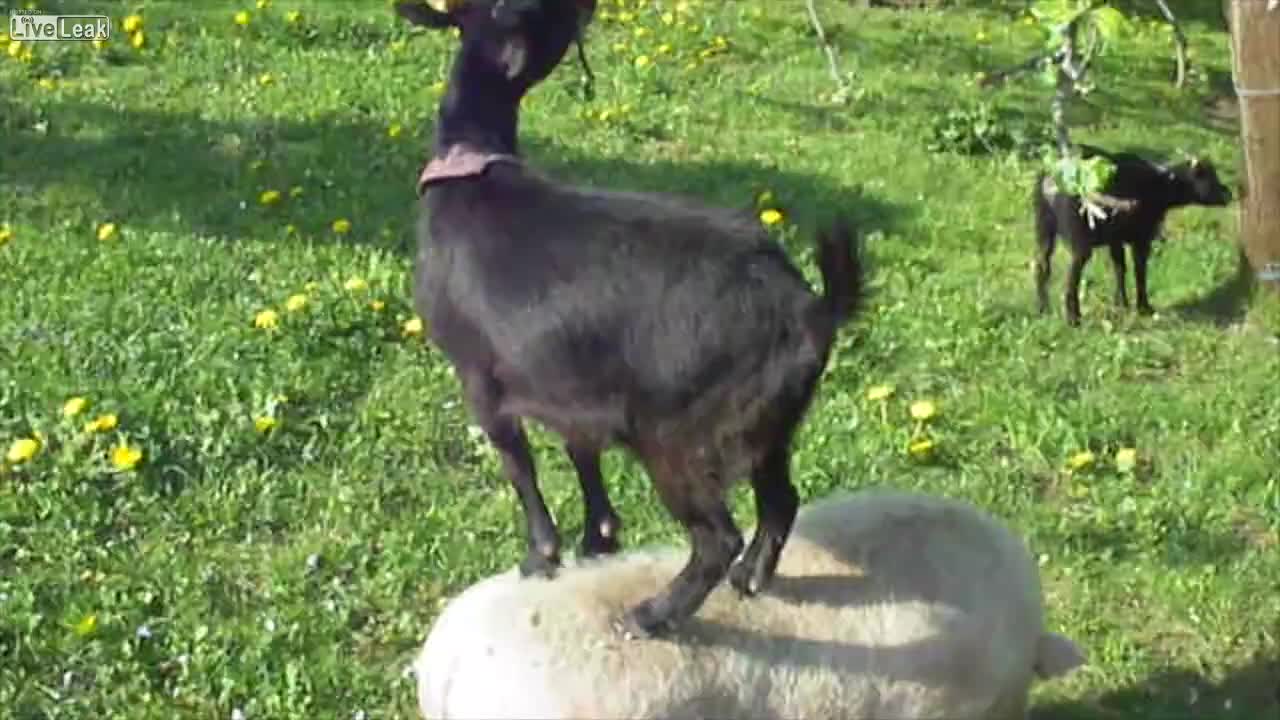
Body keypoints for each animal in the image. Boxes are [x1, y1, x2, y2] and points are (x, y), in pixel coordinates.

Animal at [393, 0, 865, 638]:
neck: (469, 173)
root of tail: (812, 306)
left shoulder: (480, 378)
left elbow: (520, 468)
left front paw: (542, 555)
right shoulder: (567, 378)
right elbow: (581, 451)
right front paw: (599, 538)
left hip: (679, 432)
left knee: (716, 536)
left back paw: (653, 613)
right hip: (766, 423)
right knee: (780, 500)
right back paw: (750, 578)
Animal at [1033, 144, 1231, 326]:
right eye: (1208, 176)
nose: (1228, 193)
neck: (1159, 185)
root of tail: (1052, 177)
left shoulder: (1116, 239)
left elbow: (1120, 267)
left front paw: (1121, 303)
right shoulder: (1141, 238)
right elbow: (1139, 269)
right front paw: (1144, 307)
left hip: (1043, 227)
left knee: (1042, 264)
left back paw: (1043, 309)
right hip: (1080, 240)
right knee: (1071, 275)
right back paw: (1073, 318)